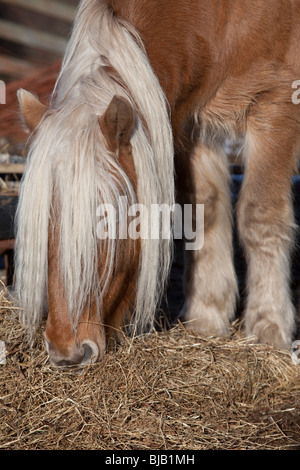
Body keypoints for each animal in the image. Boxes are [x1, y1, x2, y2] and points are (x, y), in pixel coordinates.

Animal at [15, 0, 300, 366]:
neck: (223, 15)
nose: (67, 353)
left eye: (108, 222)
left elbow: (260, 218)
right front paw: (206, 318)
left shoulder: (275, 104)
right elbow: (204, 212)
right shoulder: (195, 125)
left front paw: (268, 328)